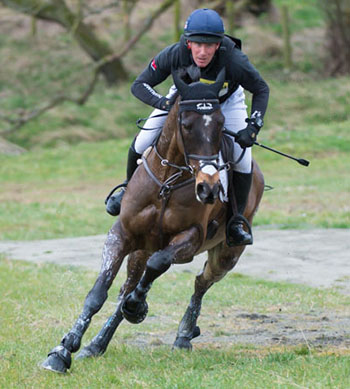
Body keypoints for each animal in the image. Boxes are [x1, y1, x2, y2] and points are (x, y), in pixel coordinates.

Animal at [41, 68, 262, 372]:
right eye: (186, 124)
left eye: (220, 125)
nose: (208, 188)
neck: (168, 183)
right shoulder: (122, 234)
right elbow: (99, 293)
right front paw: (62, 352)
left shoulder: (190, 239)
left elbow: (158, 265)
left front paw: (137, 307)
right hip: (140, 250)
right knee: (127, 288)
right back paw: (97, 344)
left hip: (227, 254)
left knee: (200, 282)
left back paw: (183, 333)